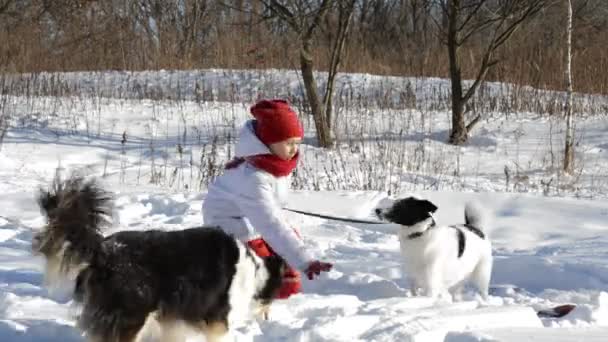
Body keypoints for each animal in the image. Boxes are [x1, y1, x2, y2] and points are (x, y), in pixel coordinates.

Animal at [30, 176, 282, 342]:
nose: (268, 318)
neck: (257, 270)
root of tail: (103, 249)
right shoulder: (218, 324)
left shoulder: (171, 322)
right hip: (131, 316)